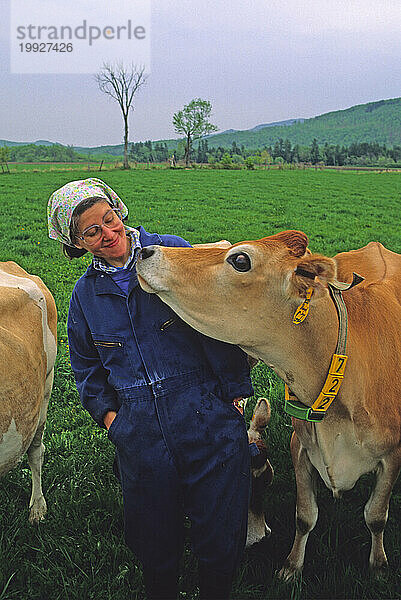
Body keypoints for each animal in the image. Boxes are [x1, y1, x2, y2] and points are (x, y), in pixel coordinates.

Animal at [136, 232, 398, 580]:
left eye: (240, 260)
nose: (145, 250)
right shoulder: (301, 445)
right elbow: (305, 515)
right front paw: (291, 567)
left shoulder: (392, 457)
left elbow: (376, 516)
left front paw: (379, 566)